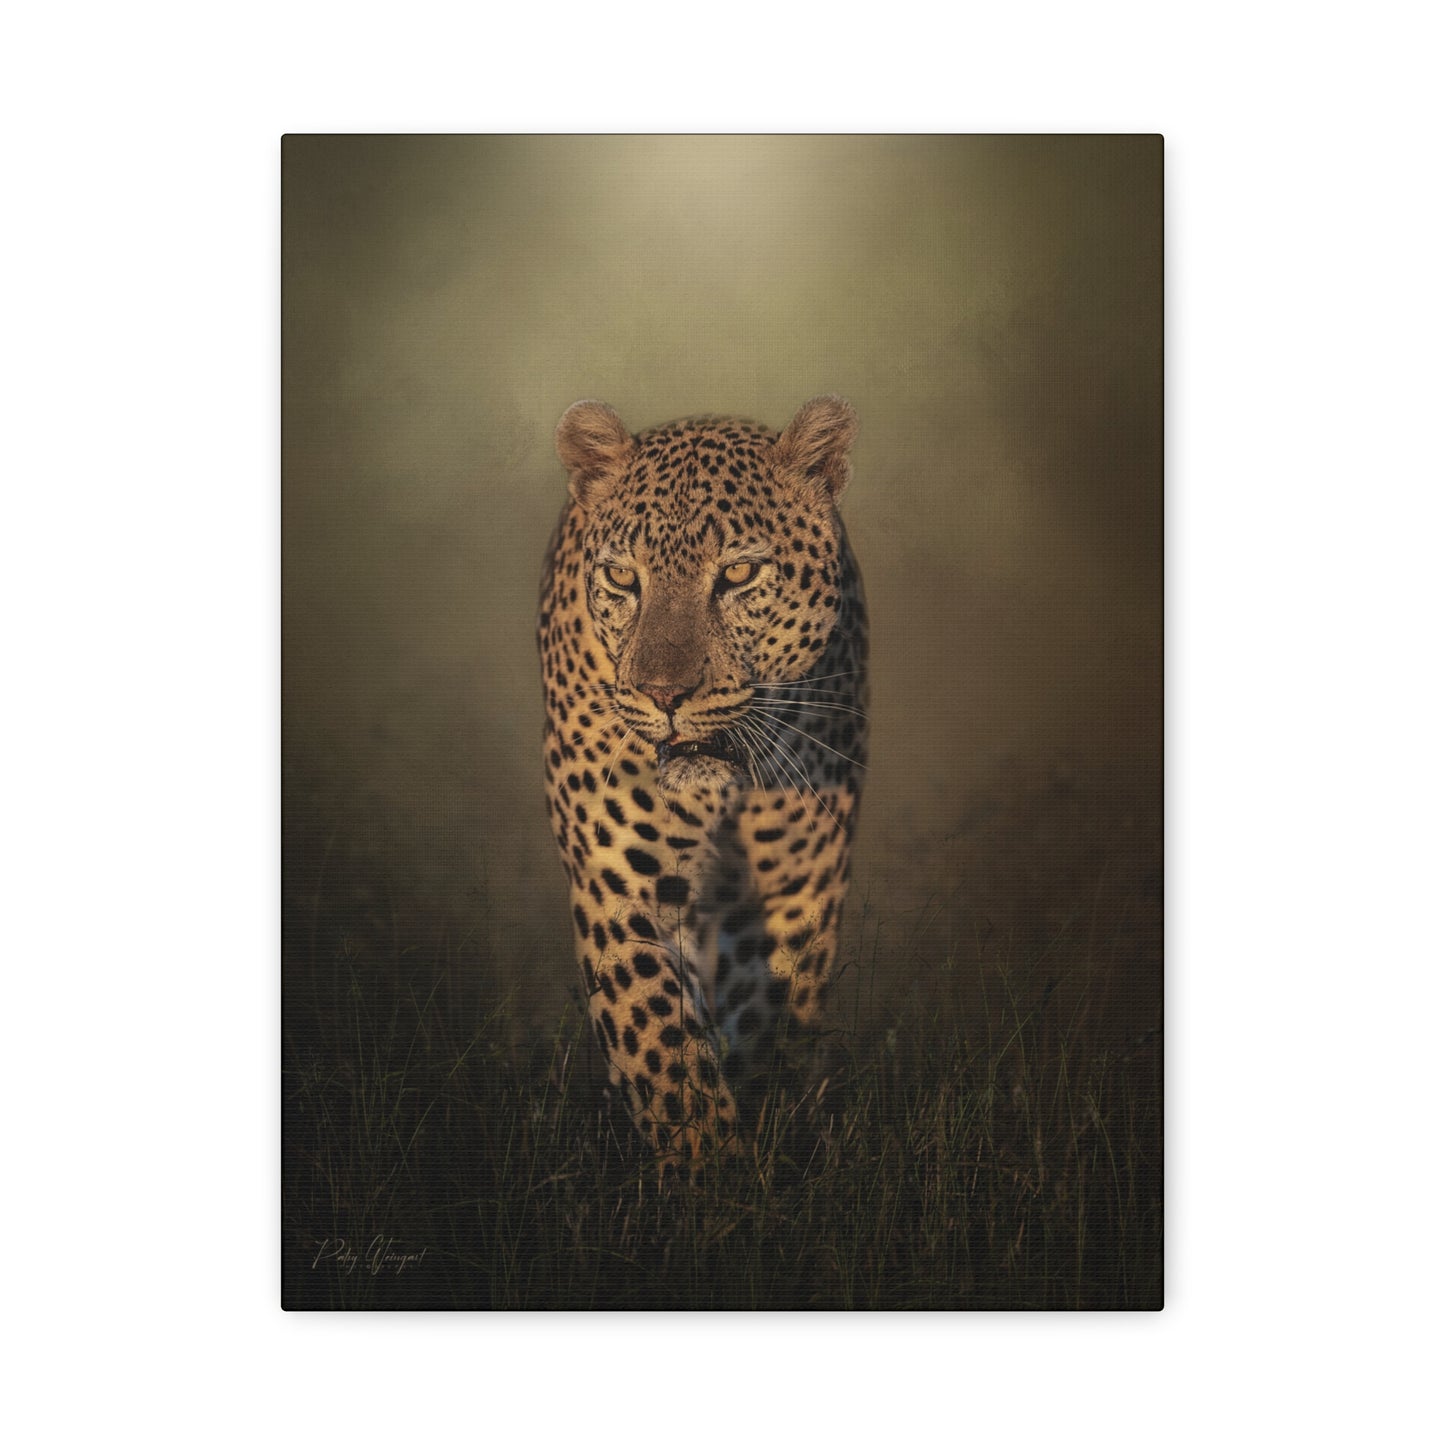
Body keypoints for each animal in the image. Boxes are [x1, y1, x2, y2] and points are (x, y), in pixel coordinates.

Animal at [538, 396, 868, 1167]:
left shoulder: (794, 892)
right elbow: (663, 1048)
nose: (664, 695)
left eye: (739, 574)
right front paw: (708, 1171)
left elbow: (766, 1030)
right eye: (623, 579)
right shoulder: (621, 888)